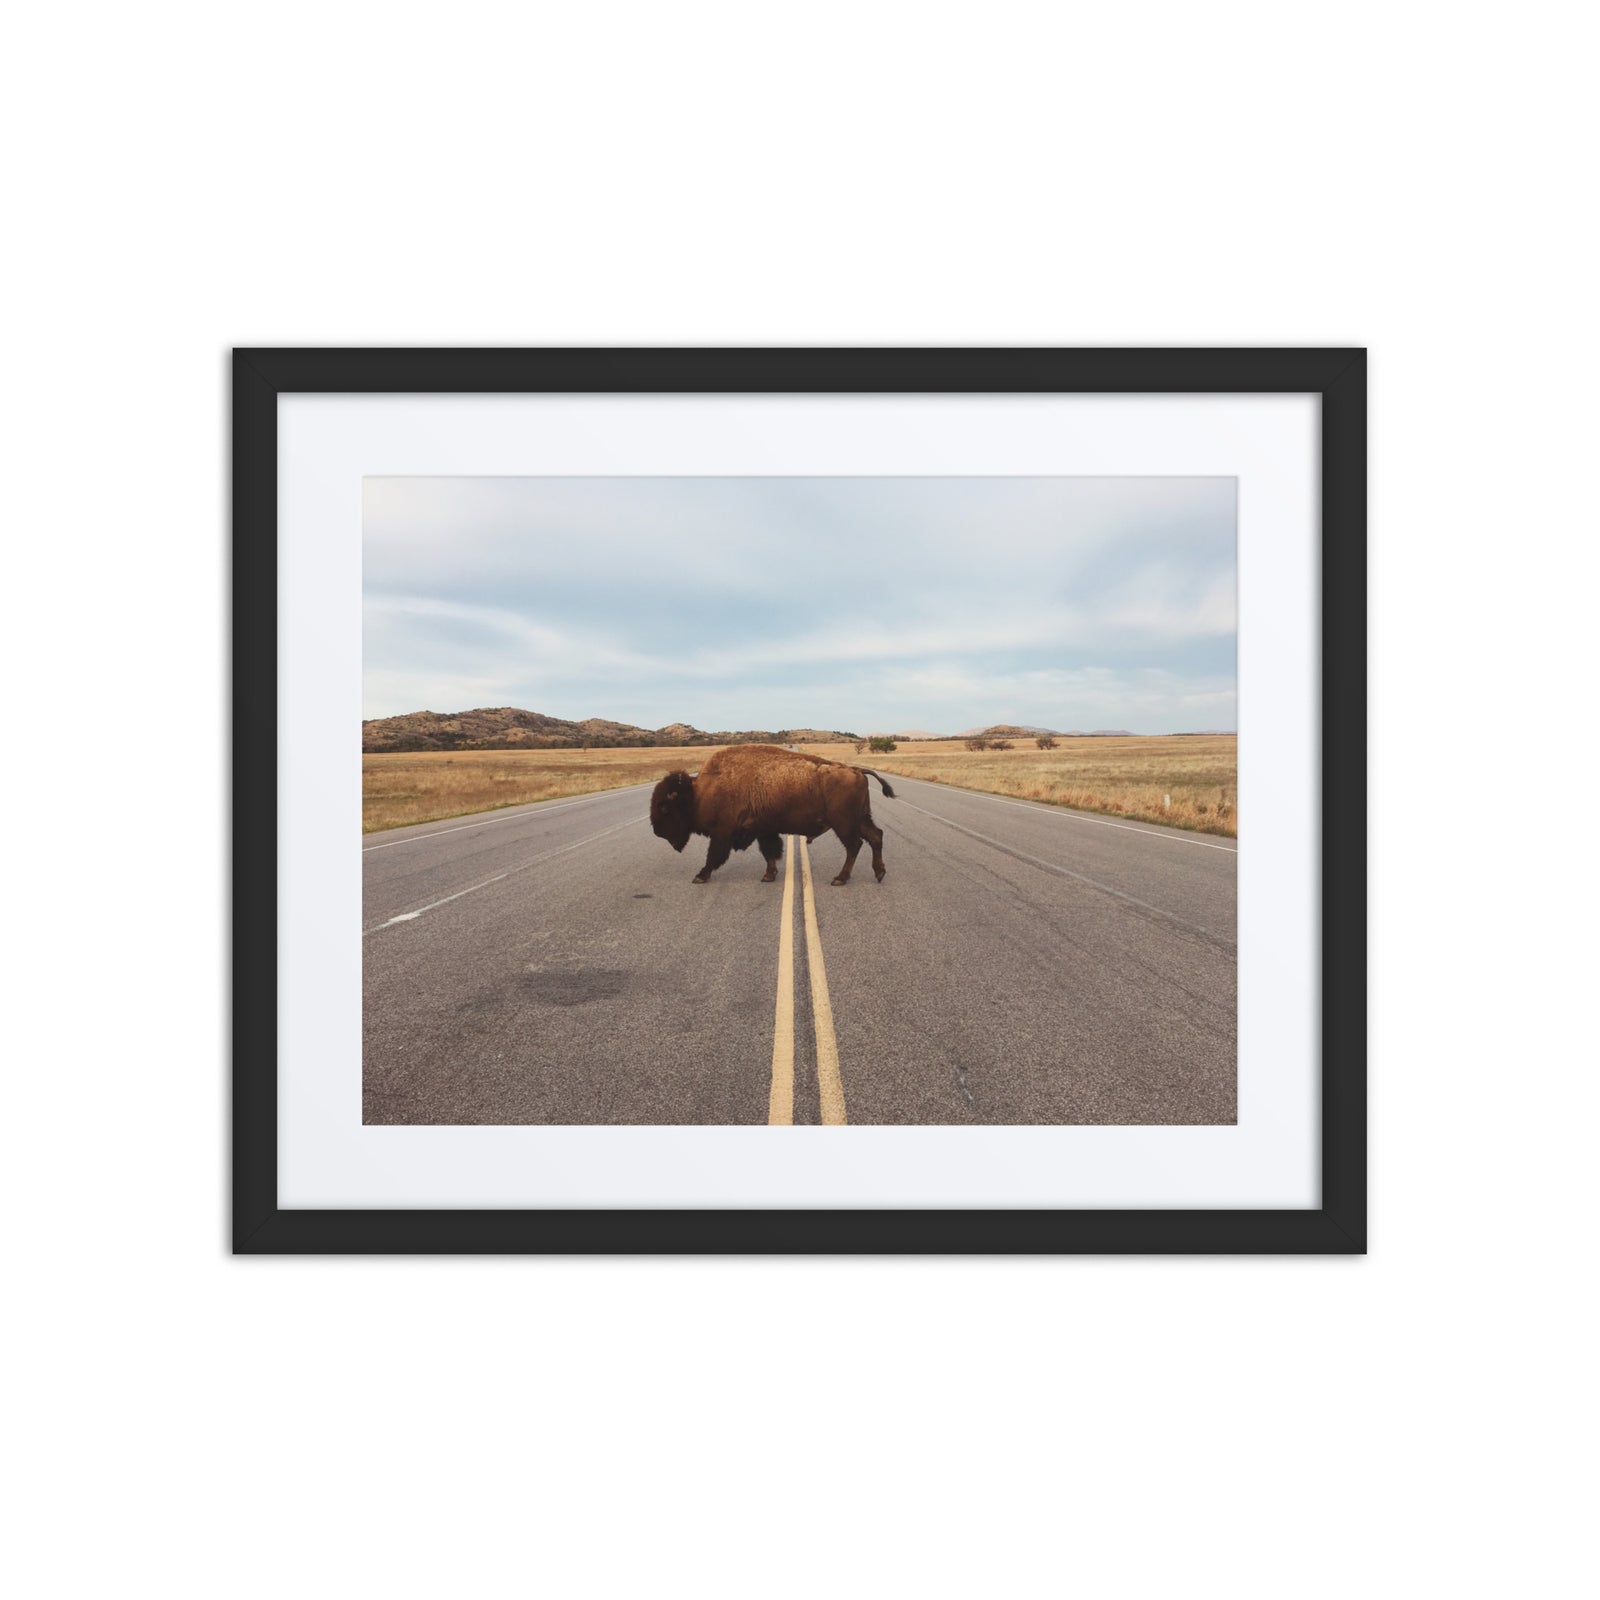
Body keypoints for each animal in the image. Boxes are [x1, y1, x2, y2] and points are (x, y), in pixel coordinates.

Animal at [649, 744, 895, 886]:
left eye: (664, 807)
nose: (657, 832)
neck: (700, 792)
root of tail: (856, 770)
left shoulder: (723, 832)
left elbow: (713, 856)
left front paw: (700, 876)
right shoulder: (762, 830)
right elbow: (769, 852)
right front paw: (769, 875)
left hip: (844, 824)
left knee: (855, 845)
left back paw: (840, 879)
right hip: (860, 819)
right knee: (875, 837)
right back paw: (879, 873)